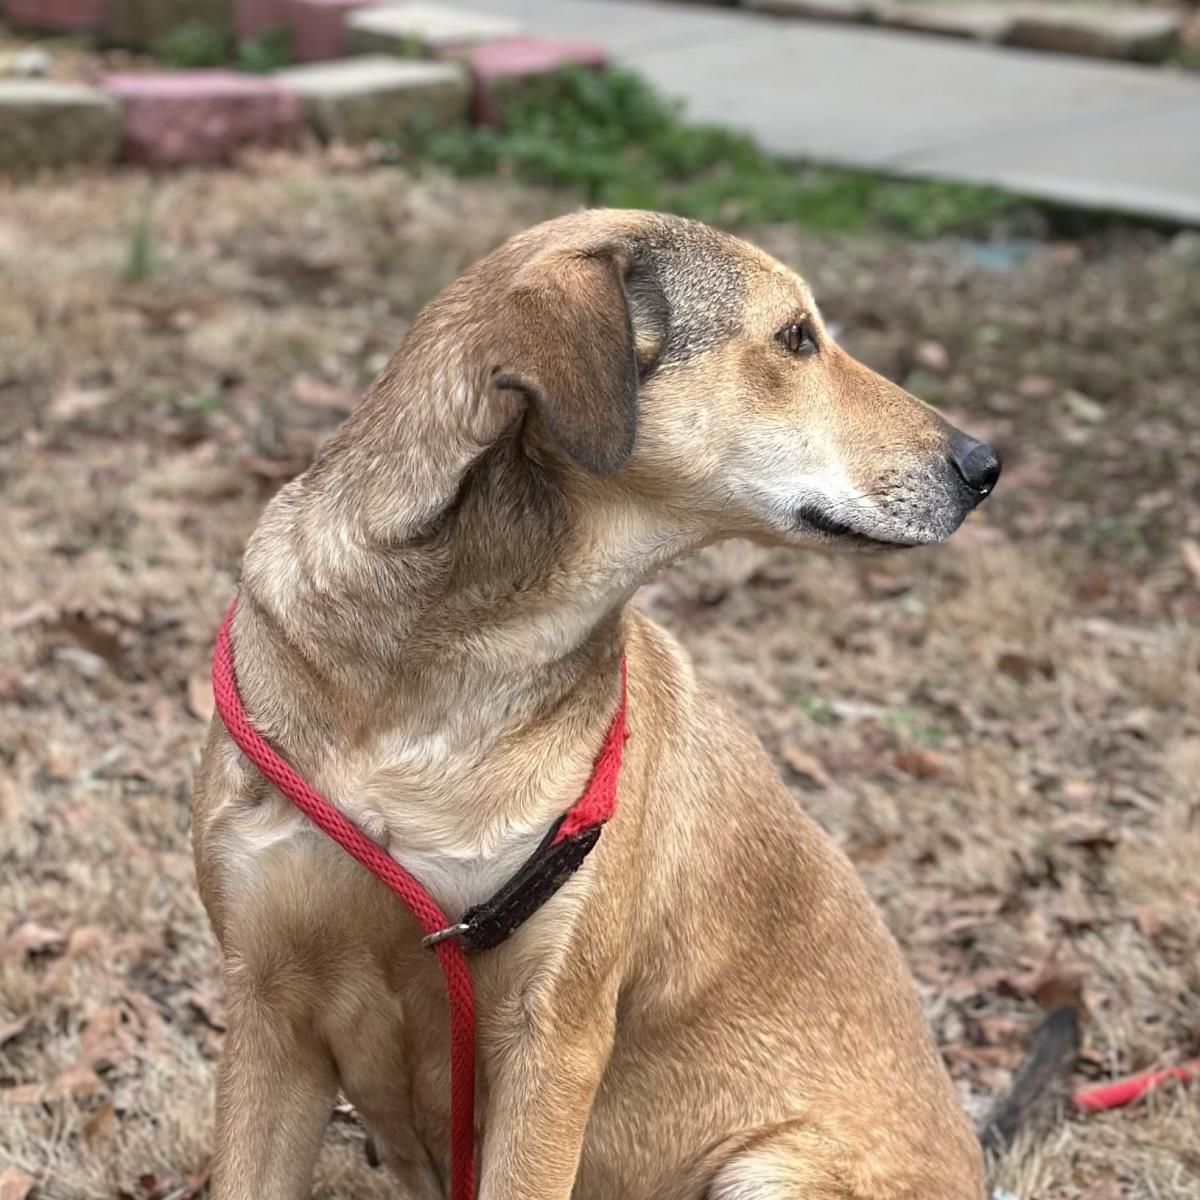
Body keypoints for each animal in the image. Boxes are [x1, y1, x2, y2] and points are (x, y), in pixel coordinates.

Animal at [192, 209, 1000, 1200]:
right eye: (796, 338)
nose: (986, 464)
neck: (439, 666)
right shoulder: (269, 1008)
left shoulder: (552, 1042)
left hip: (772, 1172)